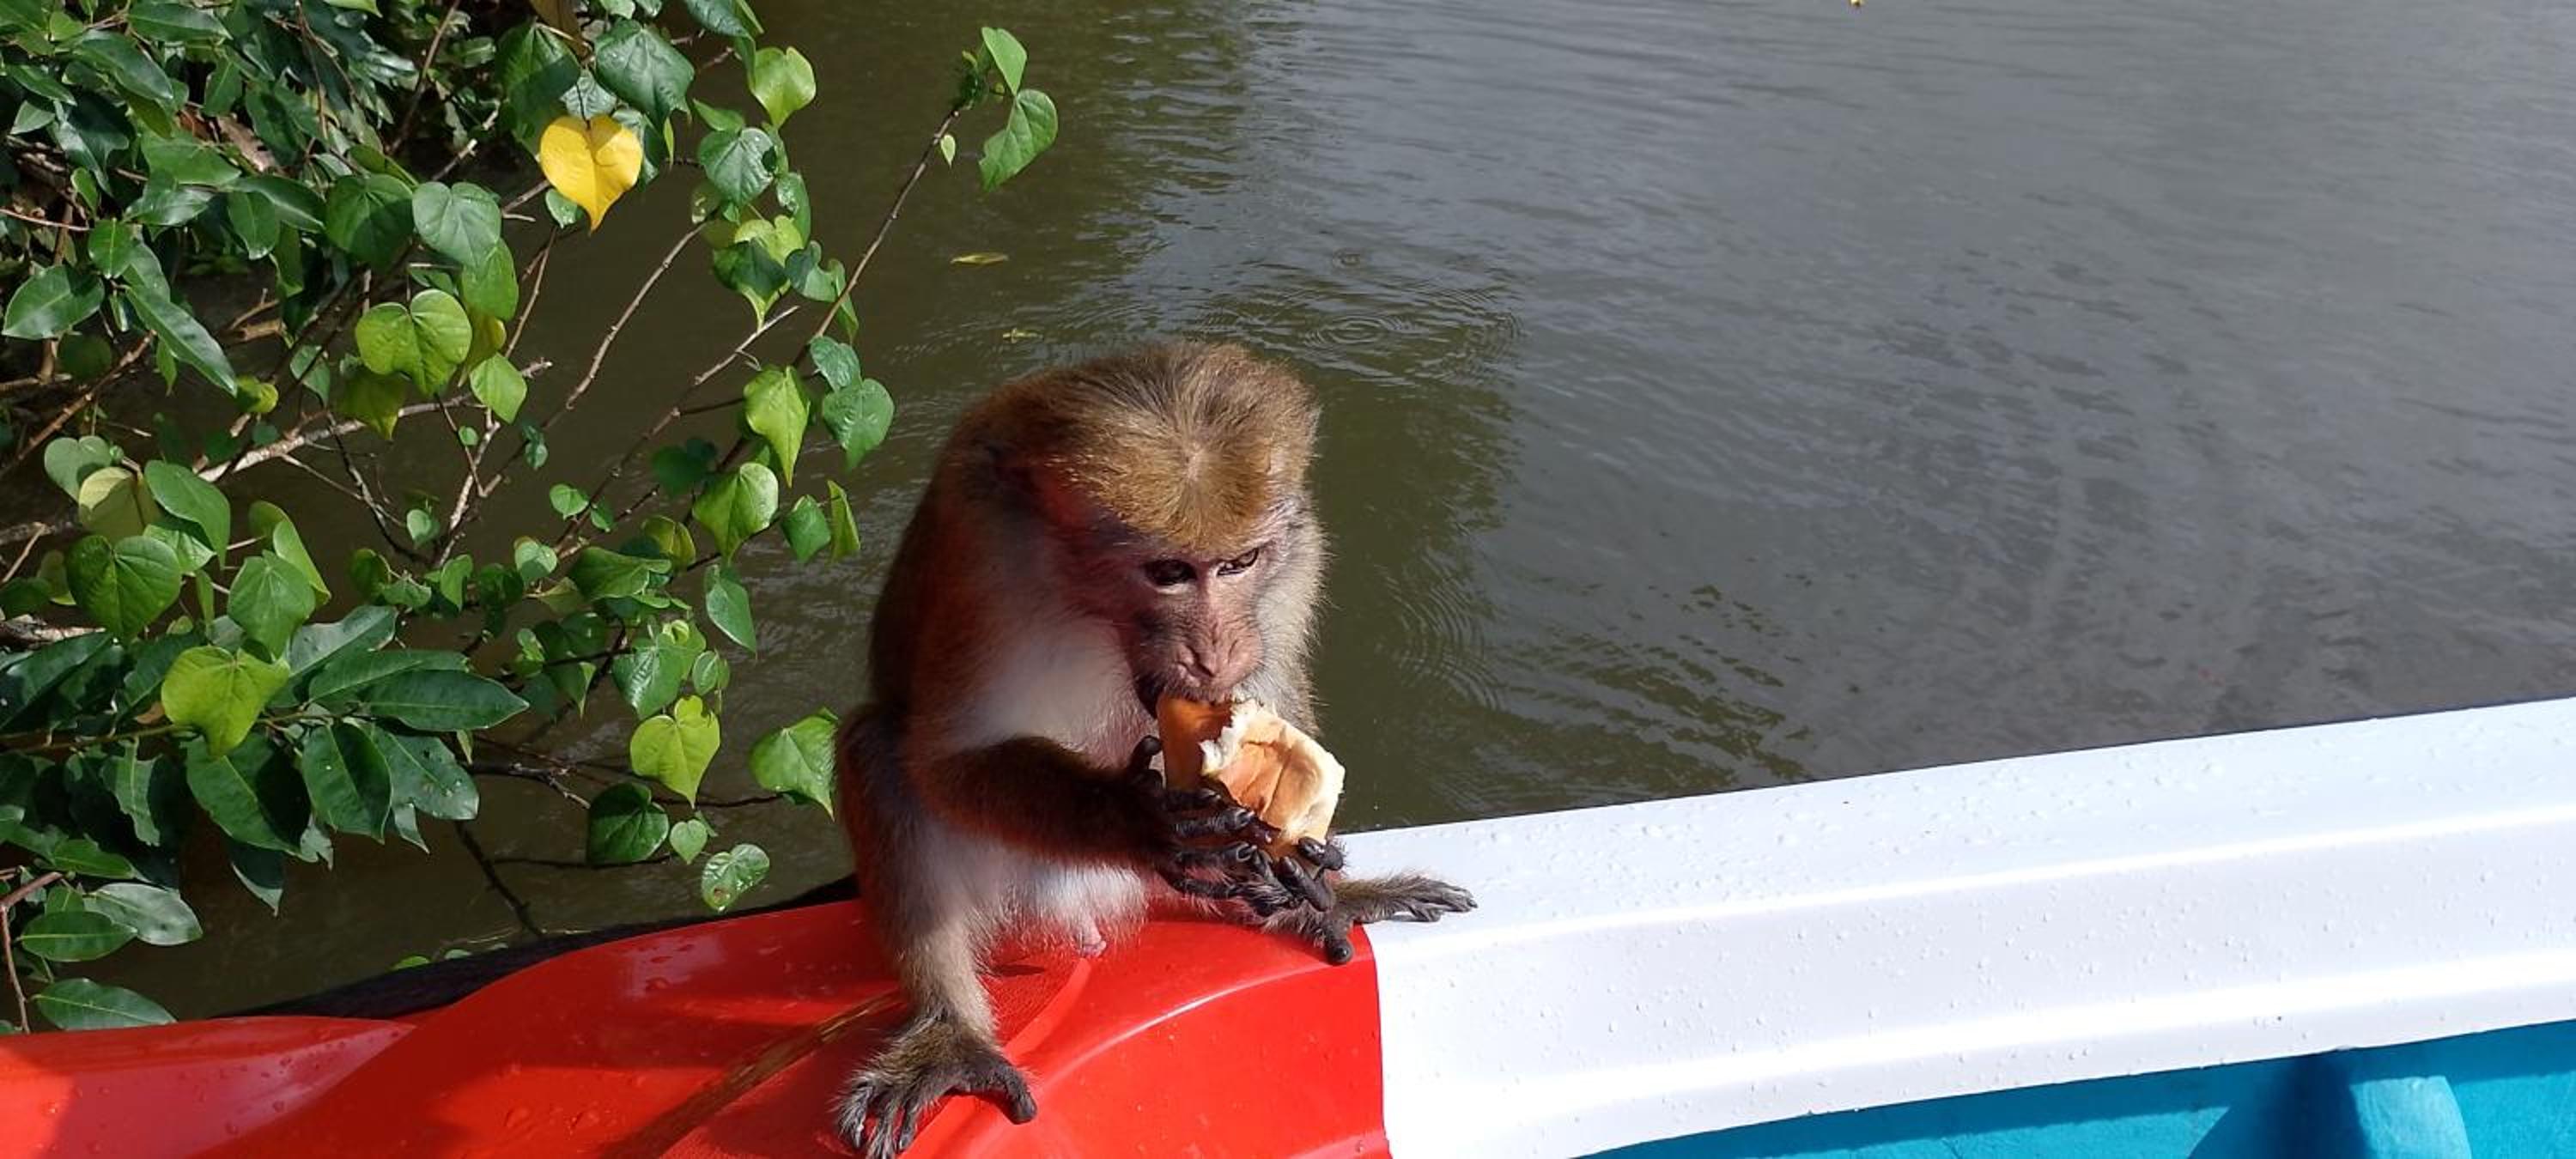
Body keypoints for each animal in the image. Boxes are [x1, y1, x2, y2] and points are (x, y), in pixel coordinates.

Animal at [831, 342, 1476, 1157]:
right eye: (1169, 573)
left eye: (1239, 564)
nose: (1213, 652)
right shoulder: (986, 560)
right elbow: (944, 761)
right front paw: (1138, 820)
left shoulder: (1299, 548)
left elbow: (1270, 685)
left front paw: (1302, 859)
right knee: (877, 748)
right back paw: (952, 1031)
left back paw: (1312, 901)